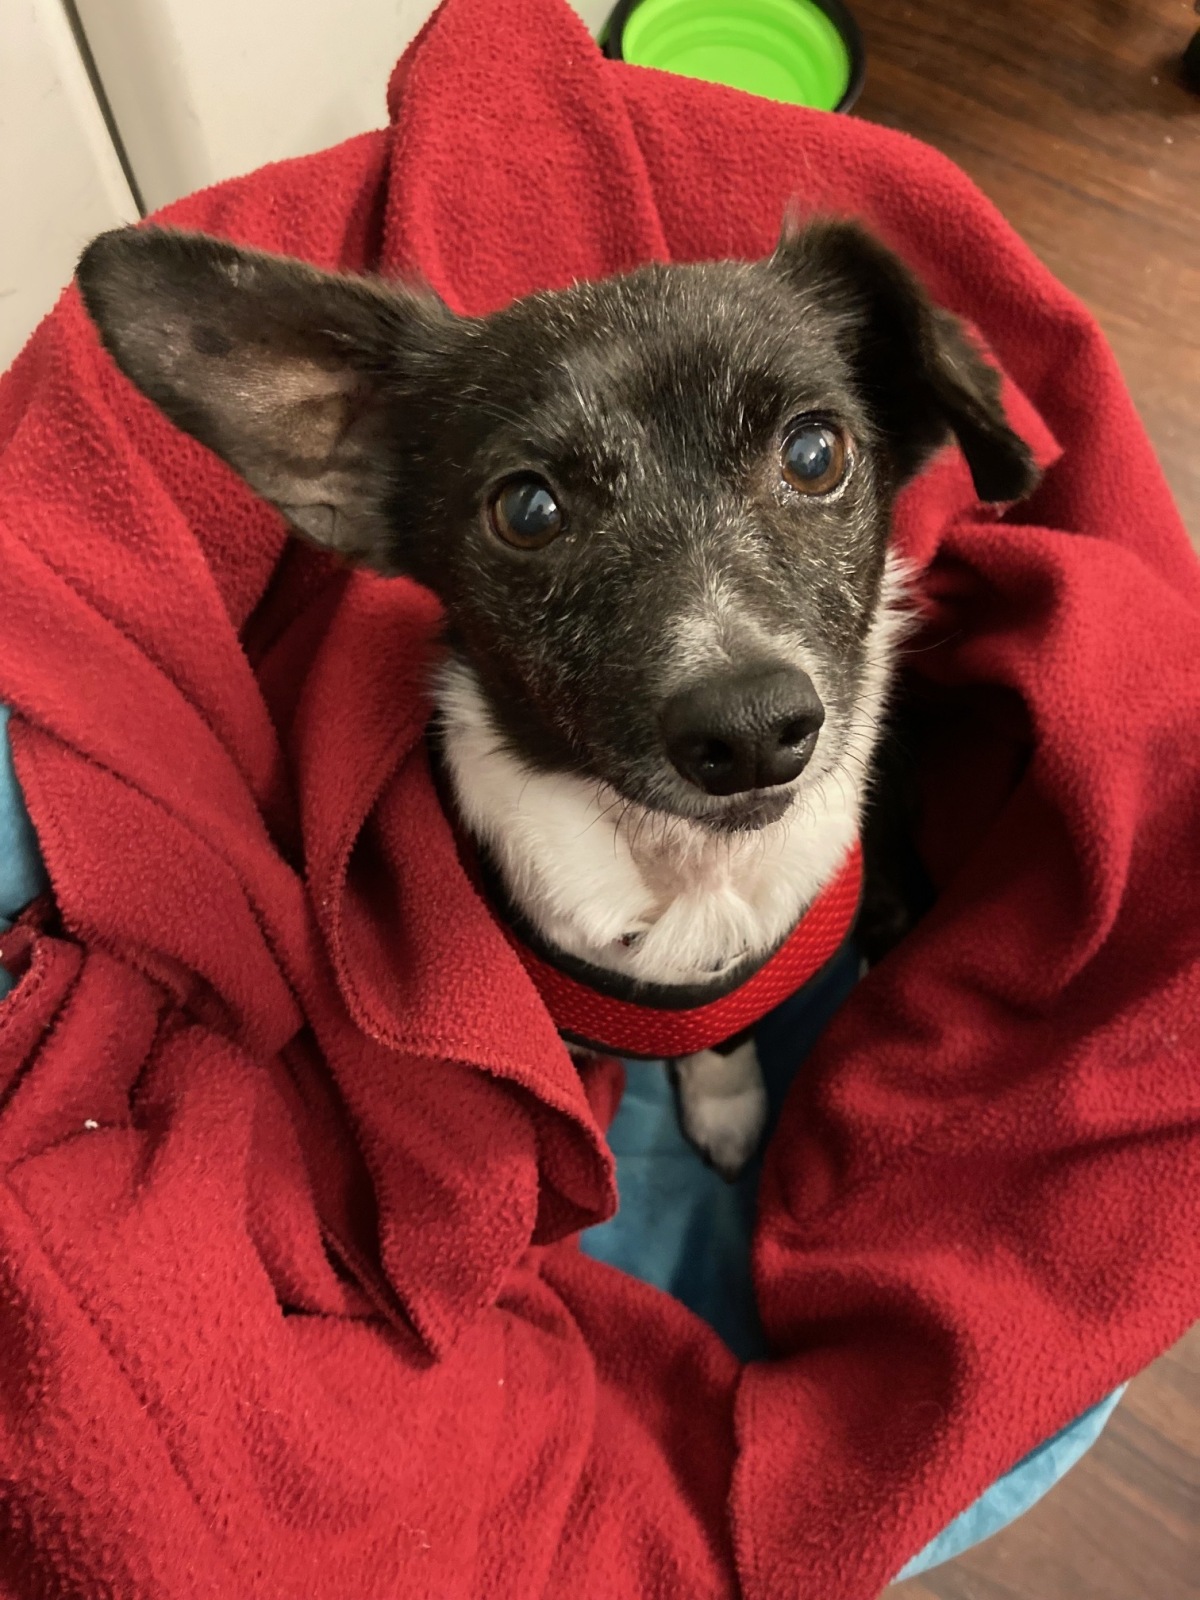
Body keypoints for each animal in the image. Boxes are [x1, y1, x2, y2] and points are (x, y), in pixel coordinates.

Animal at [75, 216, 1036, 1177]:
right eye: (527, 511)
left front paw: (725, 1106)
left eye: (814, 453)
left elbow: (723, 1040)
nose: (753, 729)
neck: (679, 865)